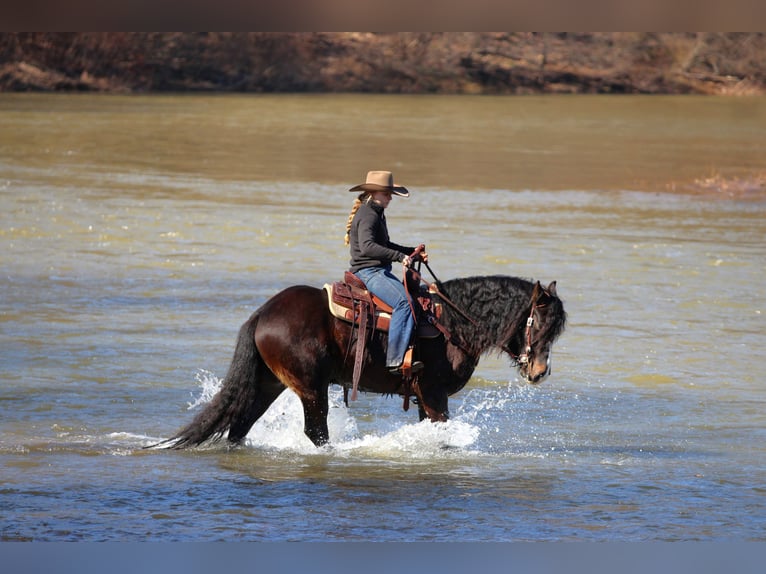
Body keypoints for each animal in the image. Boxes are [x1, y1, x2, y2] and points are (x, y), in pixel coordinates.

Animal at [156, 274, 566, 449]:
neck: (450, 322)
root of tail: (262, 314)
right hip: (311, 388)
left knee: (239, 426)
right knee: (316, 433)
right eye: (542, 324)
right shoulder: (434, 394)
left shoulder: (424, 397)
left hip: (269, 383)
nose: (540, 372)